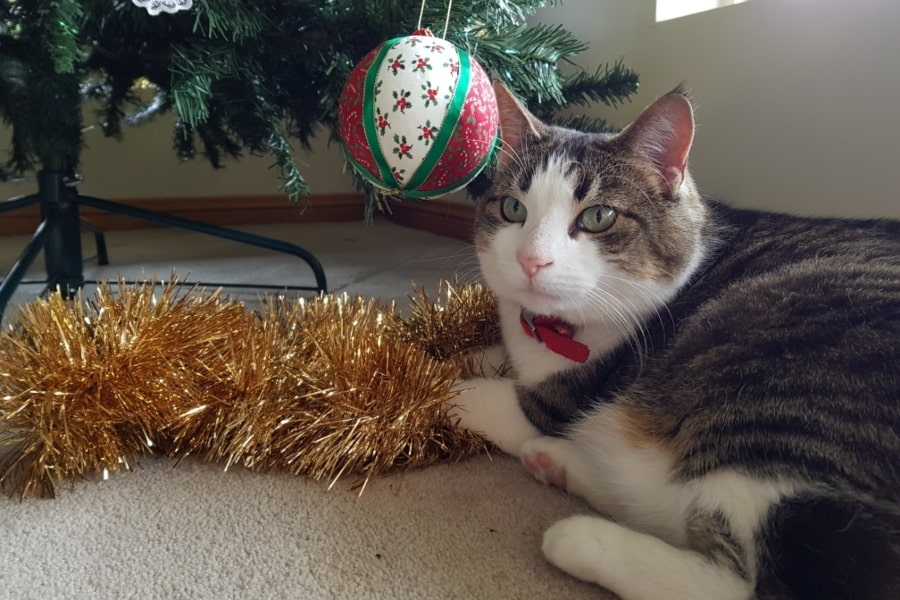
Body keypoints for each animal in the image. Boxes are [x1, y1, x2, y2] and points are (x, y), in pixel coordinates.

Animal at [450, 84, 900, 600]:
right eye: (513, 209)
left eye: (599, 216)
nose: (530, 260)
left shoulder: (564, 399)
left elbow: (474, 393)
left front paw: (424, 379)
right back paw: (557, 464)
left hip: (766, 385)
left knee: (764, 583)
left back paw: (581, 536)